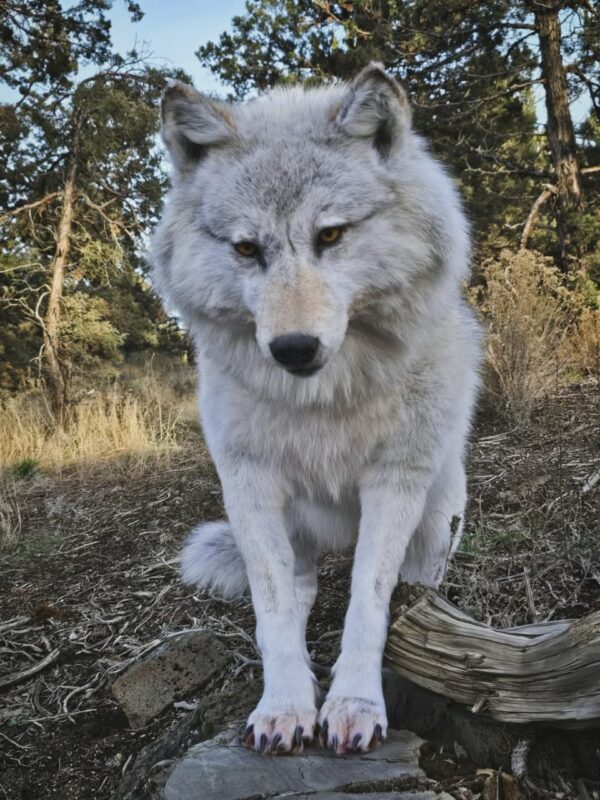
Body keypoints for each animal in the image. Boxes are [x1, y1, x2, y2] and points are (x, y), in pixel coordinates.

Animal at [151, 63, 481, 756]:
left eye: (329, 235)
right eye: (247, 249)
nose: (293, 348)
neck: (323, 399)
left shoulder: (394, 481)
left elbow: (367, 597)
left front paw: (354, 704)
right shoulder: (247, 482)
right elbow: (273, 606)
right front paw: (284, 708)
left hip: (440, 515)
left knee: (412, 581)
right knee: (294, 588)